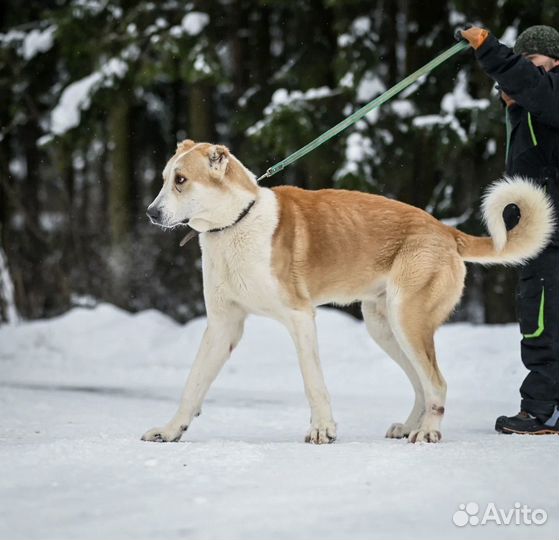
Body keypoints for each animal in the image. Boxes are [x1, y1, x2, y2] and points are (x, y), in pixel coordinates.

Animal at [141, 139, 556, 442]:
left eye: (181, 180)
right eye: (164, 178)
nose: (150, 213)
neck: (236, 223)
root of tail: (445, 231)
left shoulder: (300, 317)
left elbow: (314, 383)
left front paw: (322, 430)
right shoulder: (223, 325)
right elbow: (193, 384)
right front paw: (170, 430)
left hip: (408, 321)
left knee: (436, 382)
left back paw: (428, 432)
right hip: (385, 327)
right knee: (422, 384)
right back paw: (411, 426)